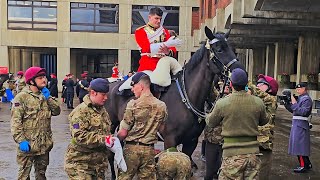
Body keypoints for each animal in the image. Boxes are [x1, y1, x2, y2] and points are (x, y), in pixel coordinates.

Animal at [105, 26, 245, 179]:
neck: (186, 96)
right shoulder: (170, 141)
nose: (241, 71)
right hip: (111, 125)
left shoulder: (191, 142)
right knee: (111, 153)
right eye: (219, 49)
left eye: (231, 48)